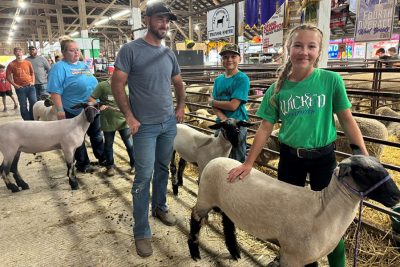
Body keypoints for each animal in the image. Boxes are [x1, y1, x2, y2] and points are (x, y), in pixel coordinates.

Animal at [189, 156, 400, 266]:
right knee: (195, 217)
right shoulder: (292, 256)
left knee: (227, 223)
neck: (324, 210)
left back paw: (234, 252)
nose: (396, 196)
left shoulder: (306, 257)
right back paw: (195, 252)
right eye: (365, 171)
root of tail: (216, 159)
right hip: (205, 197)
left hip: (226, 205)